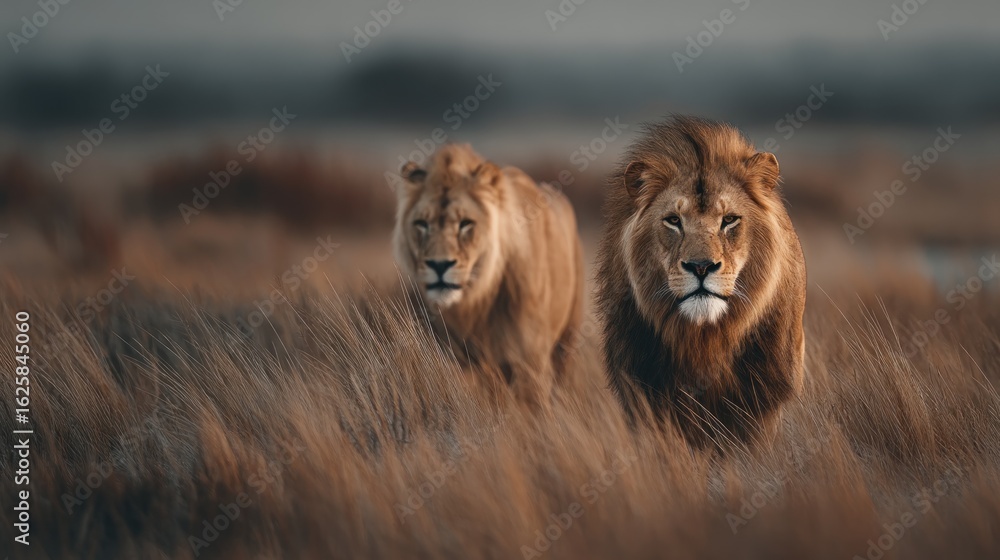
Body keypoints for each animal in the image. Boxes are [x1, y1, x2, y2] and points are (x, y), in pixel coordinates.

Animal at [393, 143, 584, 409]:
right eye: (422, 223)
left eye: (466, 223)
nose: (439, 265)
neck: (478, 300)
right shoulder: (461, 362)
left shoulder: (530, 361)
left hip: (567, 340)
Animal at [594, 116, 806, 447]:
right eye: (673, 220)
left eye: (729, 220)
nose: (701, 266)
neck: (704, 340)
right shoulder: (645, 400)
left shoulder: (763, 403)